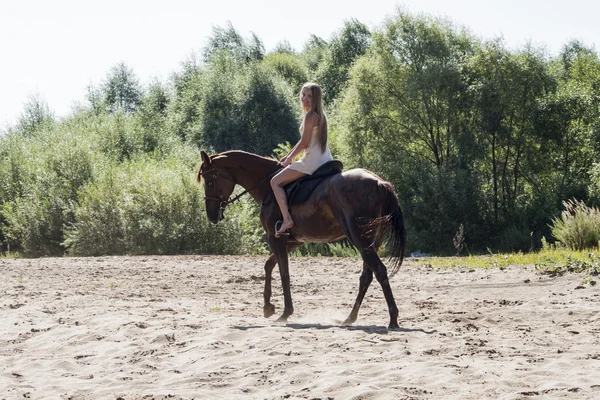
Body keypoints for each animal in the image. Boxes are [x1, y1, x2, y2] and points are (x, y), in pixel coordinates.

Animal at [199, 149, 406, 328]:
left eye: (209, 181)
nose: (211, 215)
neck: (267, 184)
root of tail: (380, 183)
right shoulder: (293, 241)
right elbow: (269, 265)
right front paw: (268, 307)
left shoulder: (275, 239)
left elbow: (284, 273)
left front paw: (285, 312)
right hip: (371, 243)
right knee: (366, 277)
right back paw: (350, 317)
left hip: (360, 240)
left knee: (379, 271)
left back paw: (393, 318)